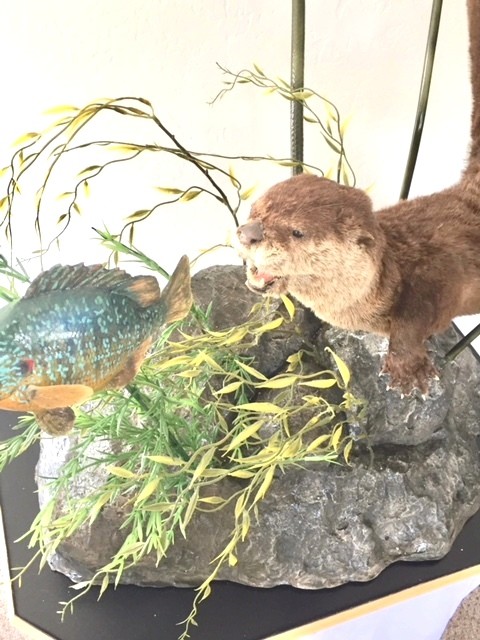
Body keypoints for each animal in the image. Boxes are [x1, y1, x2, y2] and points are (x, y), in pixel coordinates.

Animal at [237, 0, 480, 395]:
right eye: (253, 210)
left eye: (297, 231)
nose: (247, 234)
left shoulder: (442, 270)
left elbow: (415, 320)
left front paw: (409, 370)